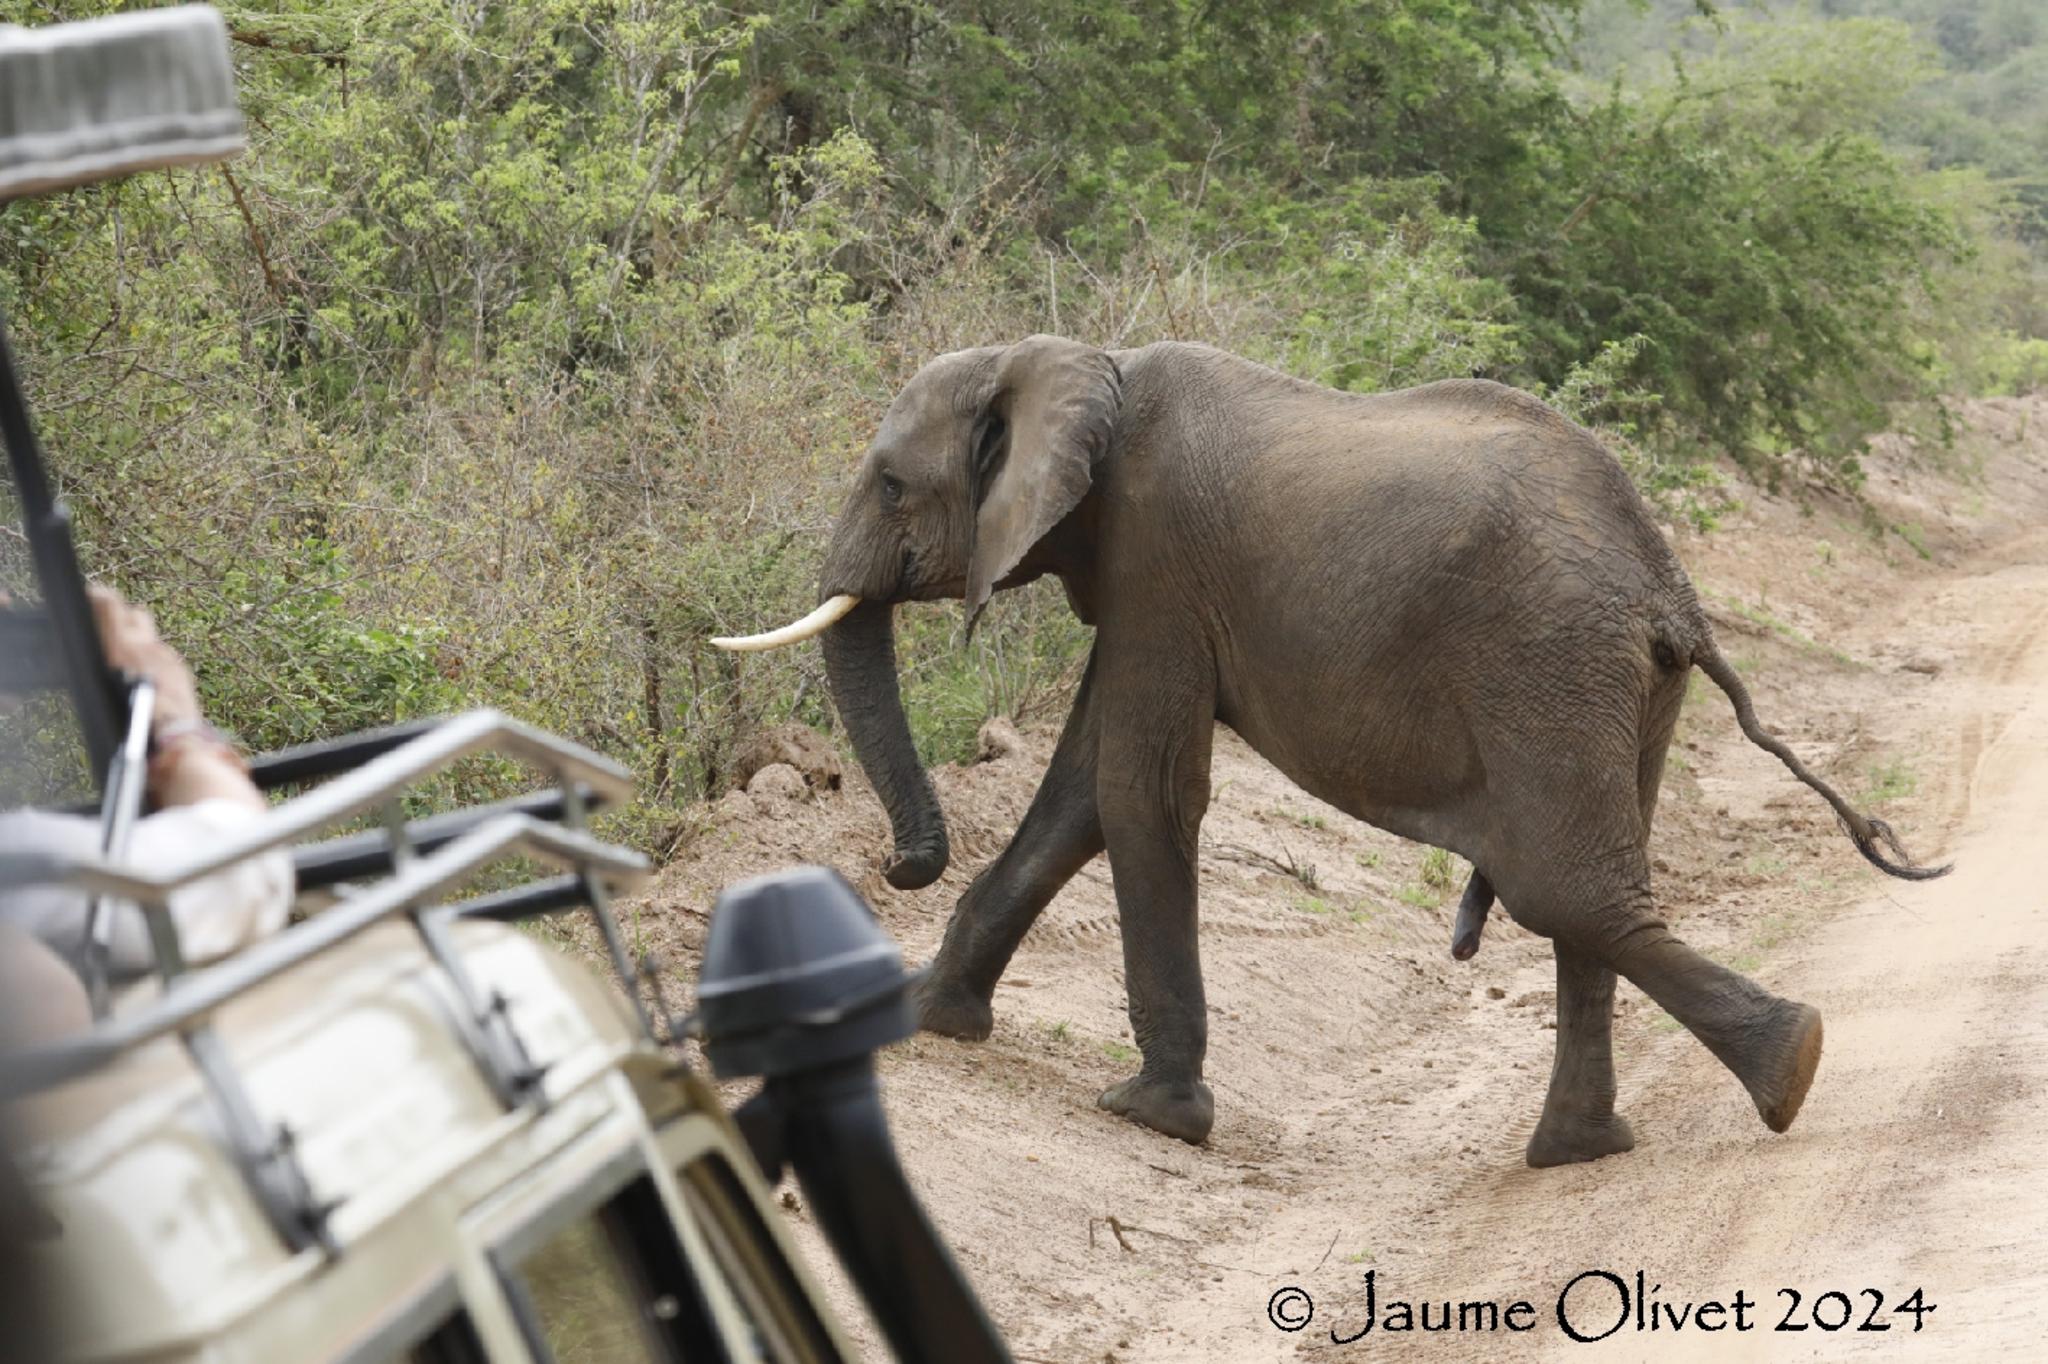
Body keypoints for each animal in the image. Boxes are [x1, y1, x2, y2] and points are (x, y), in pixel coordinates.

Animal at [712, 333, 1941, 1163]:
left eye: (888, 483)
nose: (896, 863)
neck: (1071, 362)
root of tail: (1668, 584)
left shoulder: (1155, 559)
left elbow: (1141, 792)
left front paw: (1152, 1116)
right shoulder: (1138, 584)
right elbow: (1075, 795)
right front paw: (928, 1017)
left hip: (1545, 663)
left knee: (1567, 886)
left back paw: (1788, 1068)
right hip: (1624, 685)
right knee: (1594, 887)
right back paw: (1579, 1149)